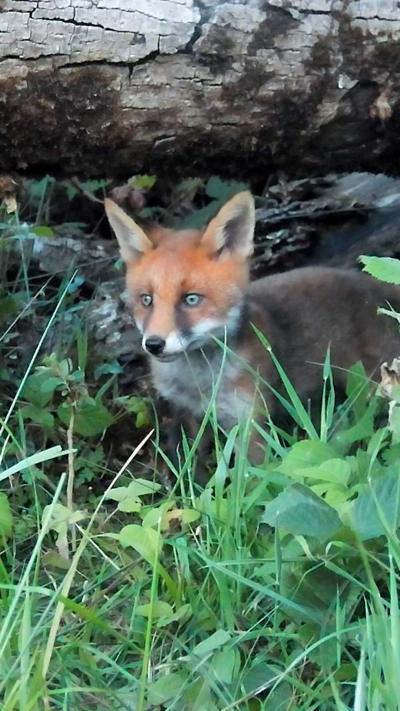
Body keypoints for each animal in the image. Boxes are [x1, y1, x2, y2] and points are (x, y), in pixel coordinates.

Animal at [104, 191, 400, 465]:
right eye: (146, 300)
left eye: (191, 299)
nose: (154, 344)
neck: (200, 384)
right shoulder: (184, 416)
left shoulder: (250, 423)